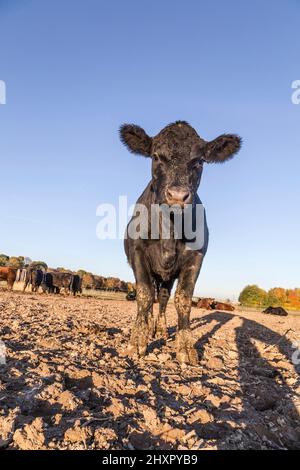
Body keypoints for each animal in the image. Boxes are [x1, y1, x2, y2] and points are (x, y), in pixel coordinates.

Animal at [119, 121, 241, 364]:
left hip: (167, 277)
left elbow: (183, 299)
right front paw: (137, 342)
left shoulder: (196, 257)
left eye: (199, 161)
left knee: (164, 298)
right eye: (156, 156)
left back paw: (160, 329)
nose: (177, 195)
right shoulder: (138, 252)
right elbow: (144, 295)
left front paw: (185, 346)